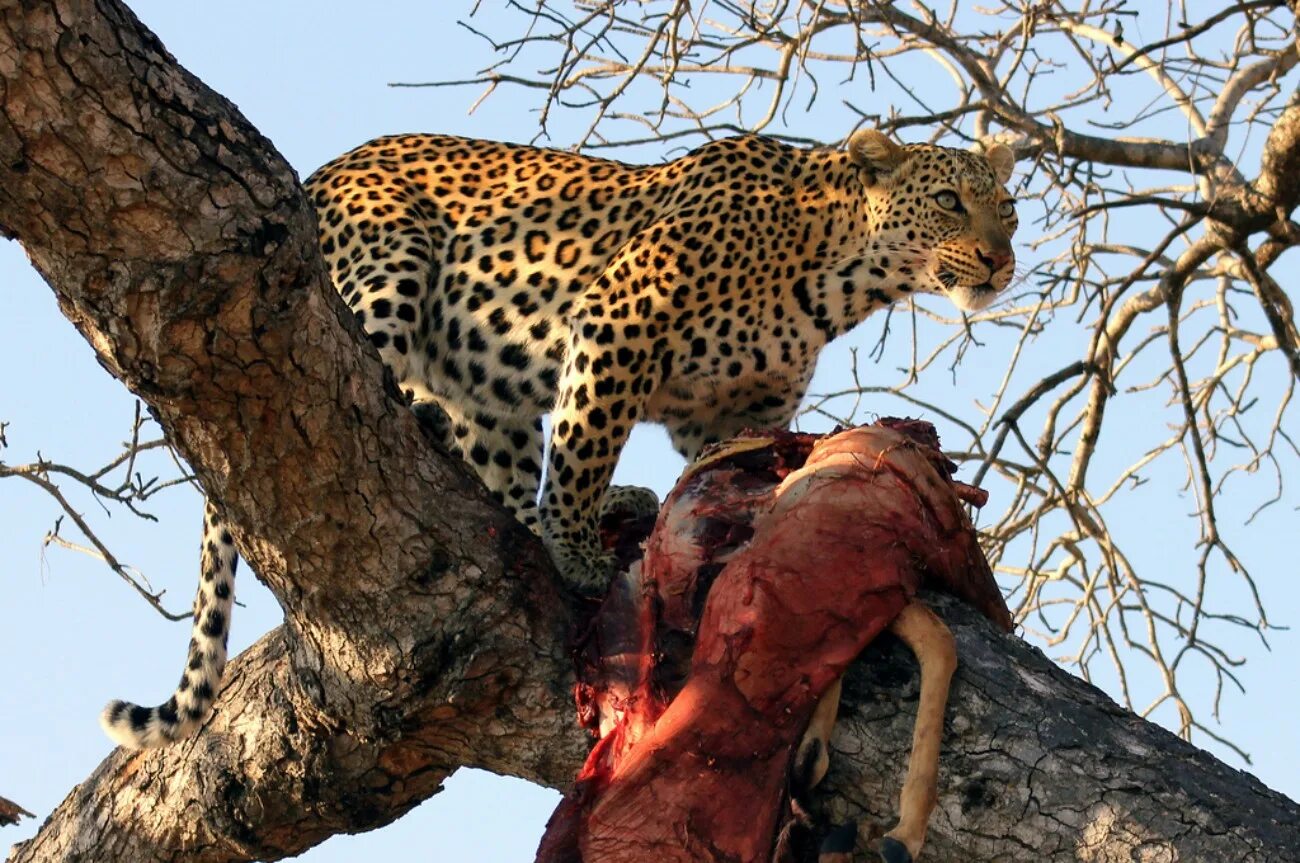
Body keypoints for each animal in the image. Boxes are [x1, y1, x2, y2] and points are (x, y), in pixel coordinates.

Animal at [98, 124, 1013, 743]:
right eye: (949, 201)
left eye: (1006, 208)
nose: (1002, 260)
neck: (840, 274)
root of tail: (318, 174)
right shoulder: (620, 318)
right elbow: (584, 440)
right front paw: (577, 550)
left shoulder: (729, 411)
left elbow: (722, 474)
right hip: (386, 272)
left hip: (485, 386)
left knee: (498, 469)